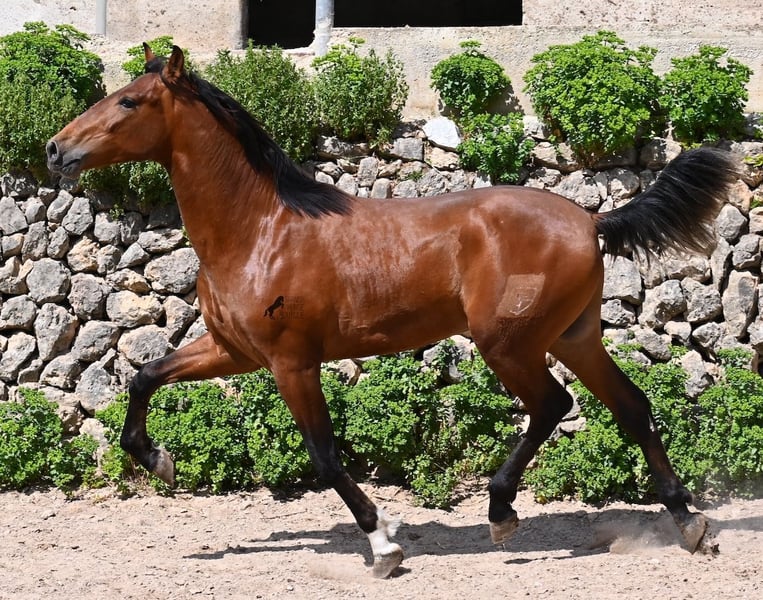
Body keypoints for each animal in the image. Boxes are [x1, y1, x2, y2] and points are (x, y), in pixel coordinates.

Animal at [47, 44, 738, 578]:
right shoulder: (233, 351)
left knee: (552, 405)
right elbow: (144, 376)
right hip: (574, 336)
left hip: (508, 343)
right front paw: (159, 461)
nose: (55, 150)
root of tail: (592, 221)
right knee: (631, 407)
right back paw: (689, 524)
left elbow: (325, 455)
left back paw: (501, 514)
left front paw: (383, 545)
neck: (260, 231)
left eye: (129, 103)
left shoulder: (291, 362)